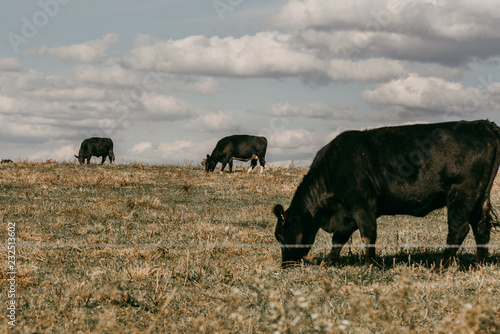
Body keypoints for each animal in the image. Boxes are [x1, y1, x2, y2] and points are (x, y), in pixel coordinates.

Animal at [274, 120, 500, 268]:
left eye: (281, 235)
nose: (285, 265)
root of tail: (482, 124)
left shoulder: (362, 204)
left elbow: (368, 234)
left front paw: (372, 264)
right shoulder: (347, 214)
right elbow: (339, 239)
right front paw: (330, 261)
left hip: (461, 193)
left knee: (458, 229)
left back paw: (440, 265)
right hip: (480, 196)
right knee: (481, 227)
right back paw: (479, 264)